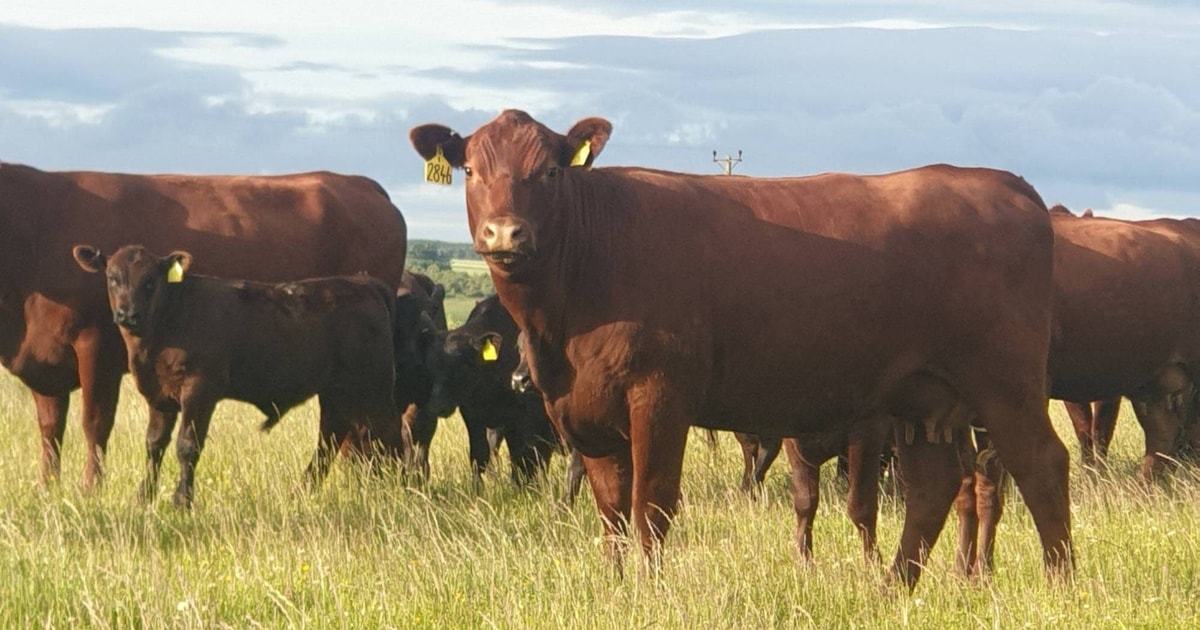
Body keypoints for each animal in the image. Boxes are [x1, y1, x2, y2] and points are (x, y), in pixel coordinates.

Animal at [72, 244, 408, 507]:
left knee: (389, 432)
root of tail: (363, 283)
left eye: (150, 282)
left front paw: (182, 500)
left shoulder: (200, 390)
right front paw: (144, 497)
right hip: (337, 390)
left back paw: (402, 490)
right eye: (112, 277)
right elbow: (154, 444)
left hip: (372, 387)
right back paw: (302, 492)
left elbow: (187, 445)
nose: (128, 314)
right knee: (332, 436)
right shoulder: (160, 395)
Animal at [423, 295, 559, 484]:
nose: (437, 406)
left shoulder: (518, 421)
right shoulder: (472, 416)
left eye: (461, 368)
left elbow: (520, 459)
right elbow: (479, 457)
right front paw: (477, 488)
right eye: (430, 365)